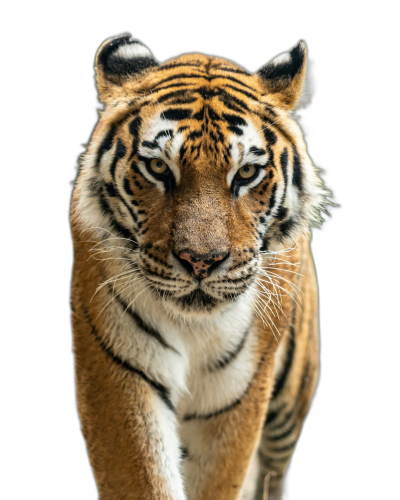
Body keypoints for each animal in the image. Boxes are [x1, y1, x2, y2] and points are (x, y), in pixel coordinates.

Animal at [69, 32, 328, 500]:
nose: (201, 261)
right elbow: (141, 476)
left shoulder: (237, 392)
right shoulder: (120, 370)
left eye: (246, 173)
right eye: (157, 167)